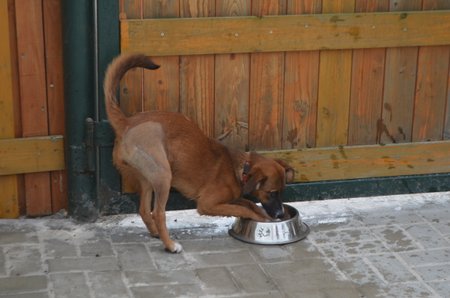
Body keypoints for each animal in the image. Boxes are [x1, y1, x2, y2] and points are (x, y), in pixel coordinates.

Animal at [104, 53, 296, 251]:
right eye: (271, 192)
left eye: (281, 192)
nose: (280, 214)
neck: (239, 168)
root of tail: (127, 123)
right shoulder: (207, 204)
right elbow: (242, 209)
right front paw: (260, 218)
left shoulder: (233, 198)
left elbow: (249, 203)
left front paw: (261, 213)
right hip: (163, 175)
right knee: (158, 213)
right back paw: (170, 245)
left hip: (148, 177)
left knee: (143, 209)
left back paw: (156, 233)